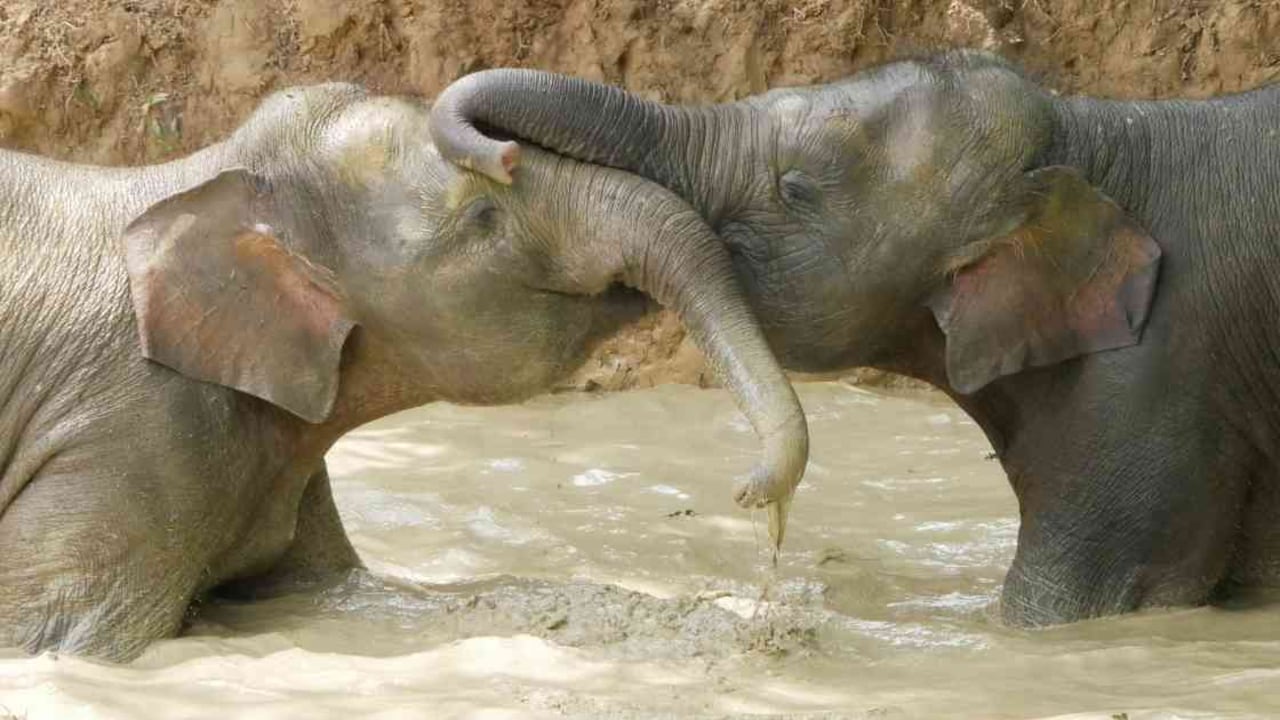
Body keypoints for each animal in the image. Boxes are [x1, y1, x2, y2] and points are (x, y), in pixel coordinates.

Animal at [0, 82, 810, 660]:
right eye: (483, 218)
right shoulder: (137, 430)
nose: (750, 493)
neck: (202, 175)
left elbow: (325, 586)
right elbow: (53, 632)